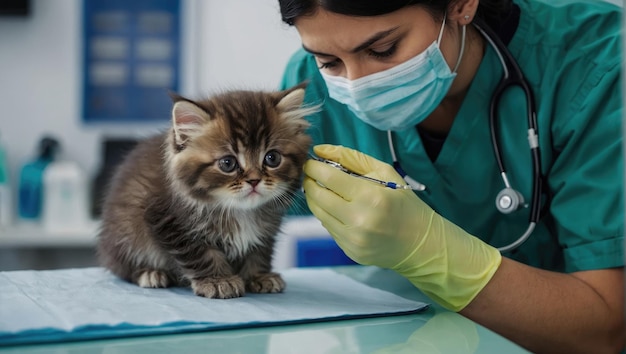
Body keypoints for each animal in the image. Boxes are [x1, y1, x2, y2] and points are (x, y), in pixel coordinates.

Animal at [97, 83, 314, 298]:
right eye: (227, 163)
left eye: (272, 158)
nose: (254, 180)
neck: (240, 211)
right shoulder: (169, 222)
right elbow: (203, 254)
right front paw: (219, 280)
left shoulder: (266, 230)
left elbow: (258, 252)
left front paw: (259, 276)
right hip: (125, 231)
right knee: (122, 266)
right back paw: (151, 273)